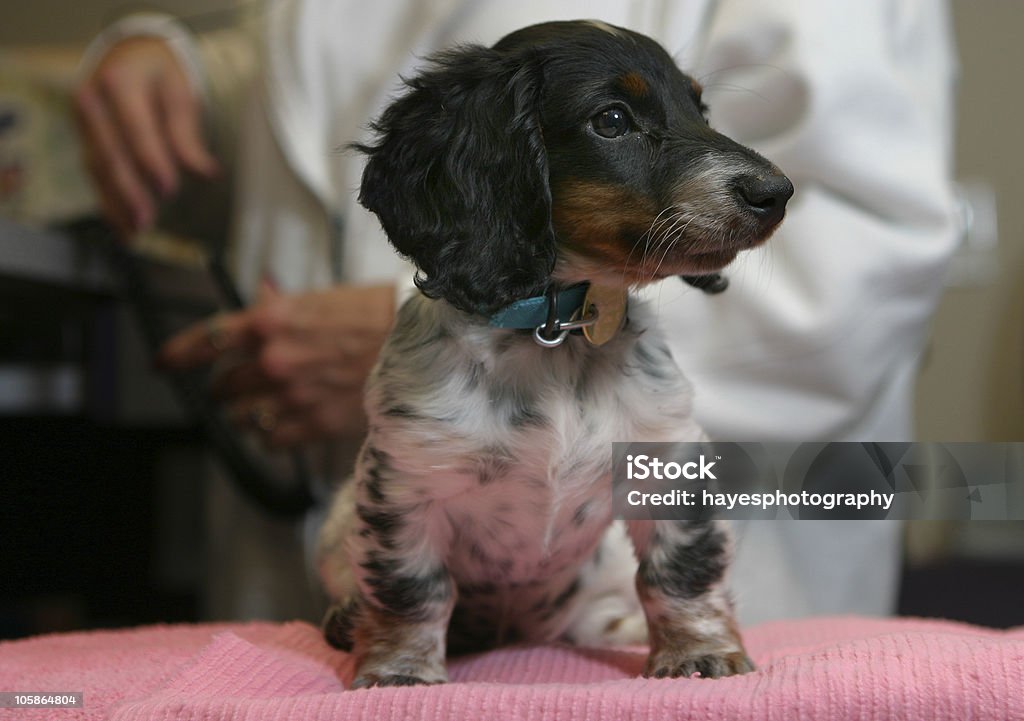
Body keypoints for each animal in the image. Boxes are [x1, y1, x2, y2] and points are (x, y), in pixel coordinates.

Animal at [317, 21, 790, 688]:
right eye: (611, 119)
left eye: (700, 109)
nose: (778, 192)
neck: (559, 331)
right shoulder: (407, 480)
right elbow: (412, 587)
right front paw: (399, 668)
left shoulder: (667, 459)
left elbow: (680, 569)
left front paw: (699, 652)